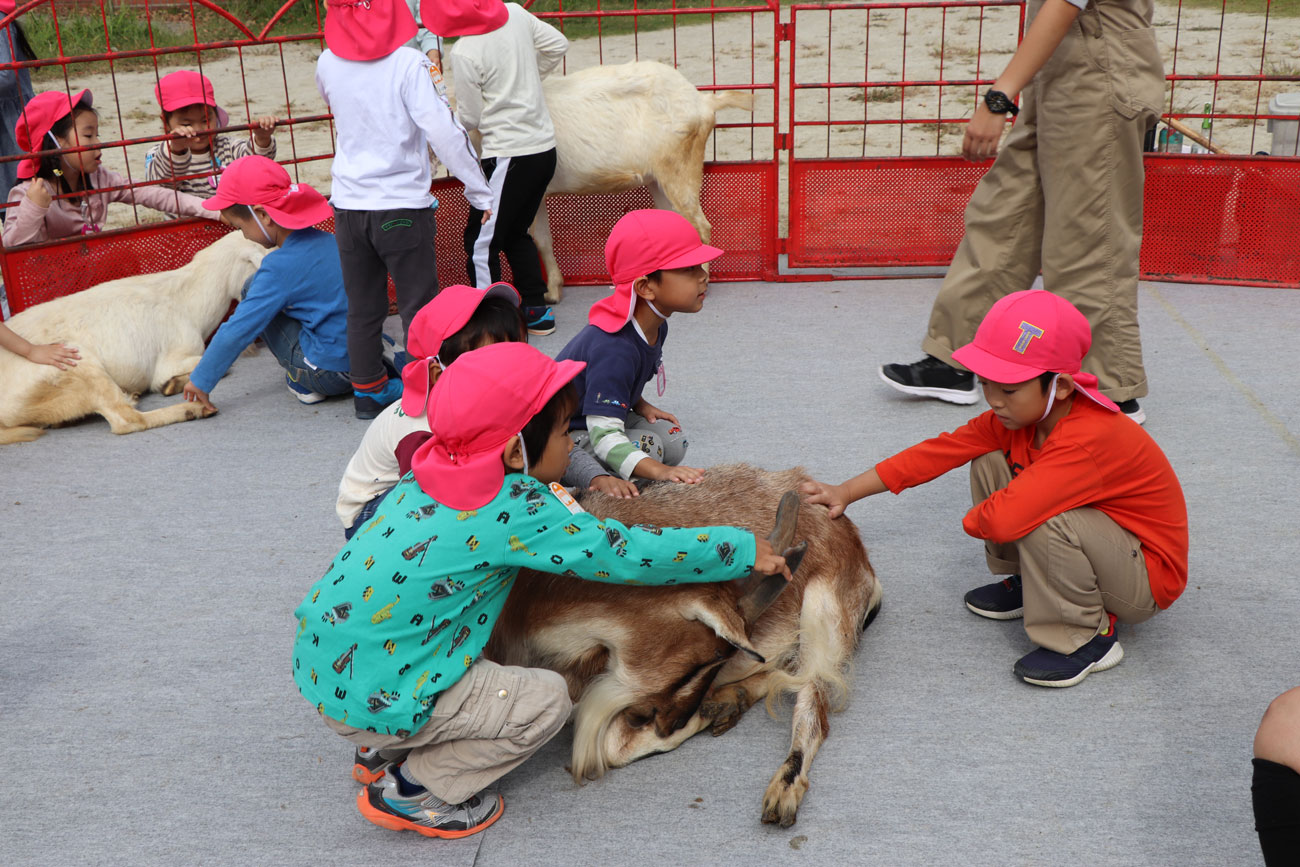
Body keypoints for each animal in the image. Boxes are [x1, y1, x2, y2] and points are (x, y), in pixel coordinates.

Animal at [0, 232, 266, 441]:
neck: (186, 299)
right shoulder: (174, 357)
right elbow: (223, 366)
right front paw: (170, 385)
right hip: (78, 365)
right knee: (126, 420)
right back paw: (193, 409)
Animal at [486, 465, 883, 826]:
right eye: (709, 655)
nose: (671, 720)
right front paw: (713, 708)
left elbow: (610, 747)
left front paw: (701, 716)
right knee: (788, 671)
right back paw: (731, 699)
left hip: (824, 613)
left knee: (811, 700)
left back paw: (782, 786)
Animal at [527, 59, 754, 300]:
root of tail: (703, 102)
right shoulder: (539, 195)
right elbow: (542, 239)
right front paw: (553, 292)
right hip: (659, 181)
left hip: (679, 169)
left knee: (701, 226)